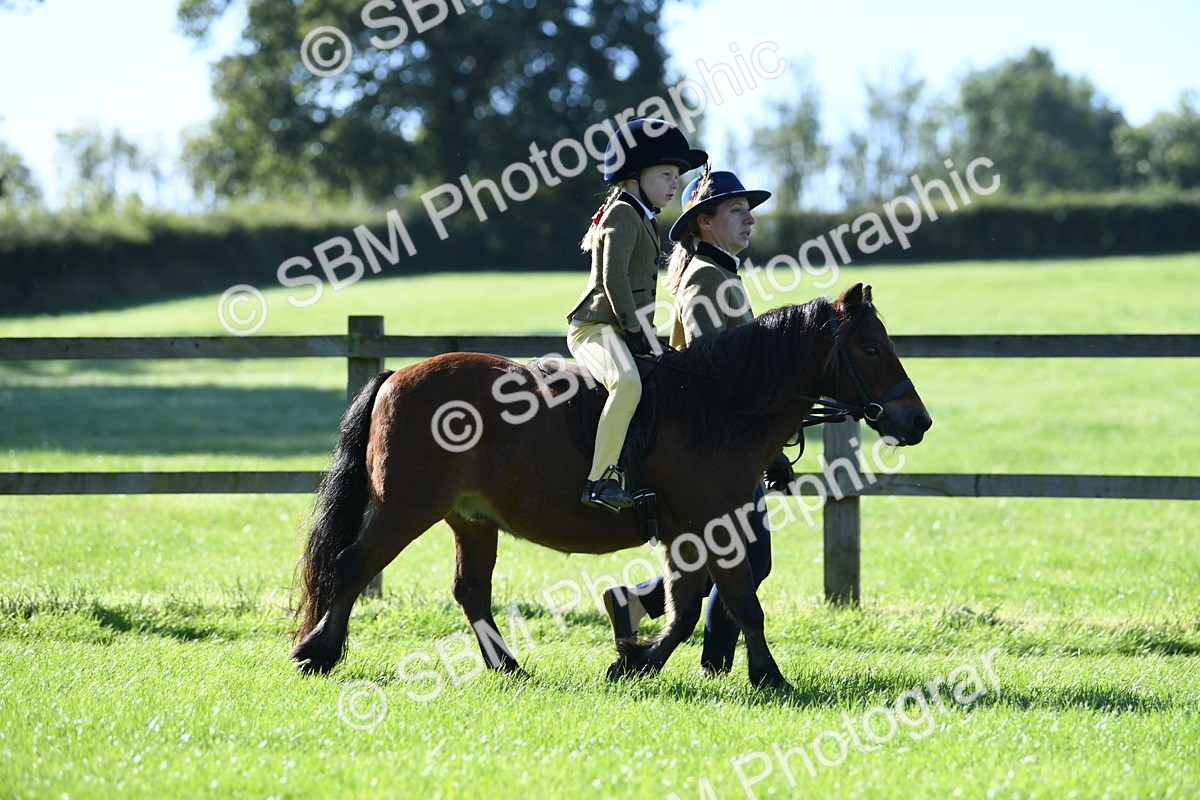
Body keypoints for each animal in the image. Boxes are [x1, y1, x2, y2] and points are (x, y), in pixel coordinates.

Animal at [290, 283, 931, 690]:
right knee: (351, 566)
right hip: (406, 509)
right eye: (871, 347)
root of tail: (395, 374)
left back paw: (508, 667)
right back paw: (316, 653)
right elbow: (742, 603)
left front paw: (634, 661)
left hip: (470, 519)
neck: (717, 403)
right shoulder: (716, 527)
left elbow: (685, 607)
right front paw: (770, 678)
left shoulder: (689, 534)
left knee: (469, 591)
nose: (918, 422)